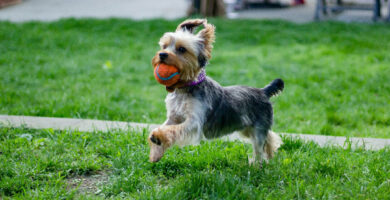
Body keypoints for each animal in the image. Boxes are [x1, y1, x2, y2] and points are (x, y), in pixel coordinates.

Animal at [149, 19, 284, 166]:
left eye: (181, 49)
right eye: (164, 46)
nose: (162, 54)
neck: (185, 87)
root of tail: (263, 91)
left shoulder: (194, 121)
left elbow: (174, 130)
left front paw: (158, 137)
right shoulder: (174, 117)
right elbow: (164, 127)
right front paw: (156, 150)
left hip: (258, 127)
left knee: (259, 147)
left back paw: (257, 165)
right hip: (246, 127)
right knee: (269, 138)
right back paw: (270, 153)